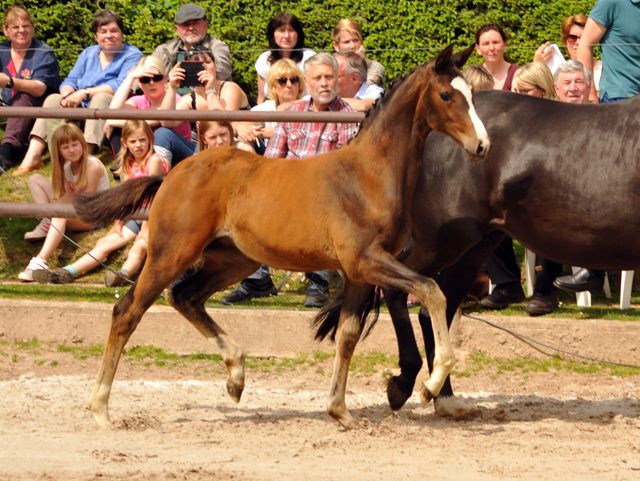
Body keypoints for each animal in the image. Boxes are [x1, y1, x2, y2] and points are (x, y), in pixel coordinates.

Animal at [75, 44, 488, 428]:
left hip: (232, 260)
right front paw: (430, 385)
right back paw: (100, 409)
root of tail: (171, 174)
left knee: (185, 297)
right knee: (128, 311)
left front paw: (340, 412)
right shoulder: (365, 260)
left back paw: (236, 377)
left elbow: (348, 334)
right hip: (171, 252)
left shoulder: (358, 271)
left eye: (471, 93)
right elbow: (432, 292)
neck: (368, 176)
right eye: (447, 95)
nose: (482, 146)